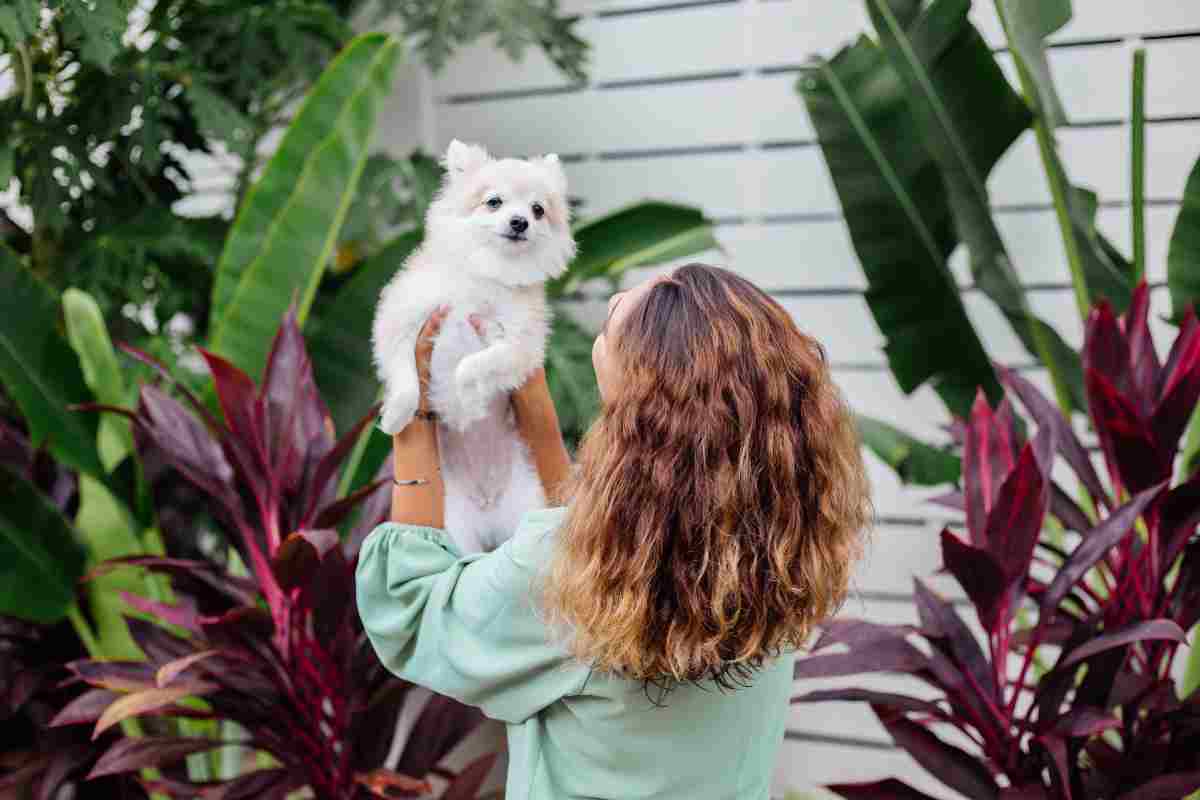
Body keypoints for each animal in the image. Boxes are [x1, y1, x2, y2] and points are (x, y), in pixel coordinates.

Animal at [369, 140, 576, 554]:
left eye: (538, 210)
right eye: (494, 202)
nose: (520, 222)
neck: (488, 274)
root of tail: (487, 504)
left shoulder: (519, 344)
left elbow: (477, 362)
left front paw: (466, 392)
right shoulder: (404, 321)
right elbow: (405, 377)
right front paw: (397, 414)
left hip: (525, 507)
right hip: (456, 526)